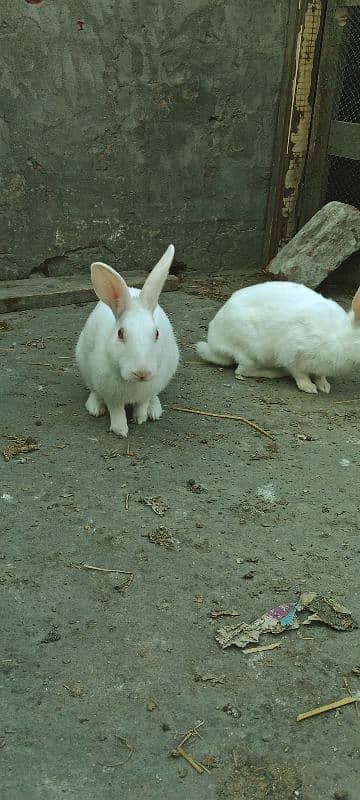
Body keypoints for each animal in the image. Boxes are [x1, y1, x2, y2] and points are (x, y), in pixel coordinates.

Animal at [75, 242, 179, 434]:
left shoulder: (147, 390)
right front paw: (120, 430)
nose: (142, 372)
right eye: (120, 333)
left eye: (157, 333)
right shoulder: (111, 395)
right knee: (94, 392)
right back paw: (94, 408)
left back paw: (155, 410)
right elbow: (116, 411)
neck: (133, 383)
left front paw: (141, 419)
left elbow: (142, 404)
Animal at [195, 282, 360, 394]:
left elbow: (320, 375)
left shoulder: (320, 365)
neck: (341, 336)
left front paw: (324, 386)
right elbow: (299, 373)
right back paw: (275, 372)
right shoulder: (292, 352)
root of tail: (214, 345)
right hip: (252, 352)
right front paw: (308, 387)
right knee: (242, 371)